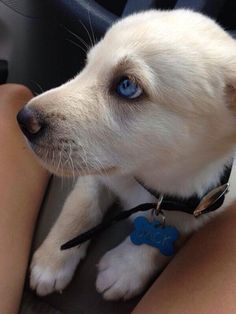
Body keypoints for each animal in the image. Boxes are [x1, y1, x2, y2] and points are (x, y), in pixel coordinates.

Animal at [18, 9, 236, 300]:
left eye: (126, 86)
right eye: (87, 66)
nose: (22, 119)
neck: (147, 178)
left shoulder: (210, 202)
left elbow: (173, 229)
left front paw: (126, 269)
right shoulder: (97, 175)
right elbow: (81, 207)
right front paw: (52, 261)